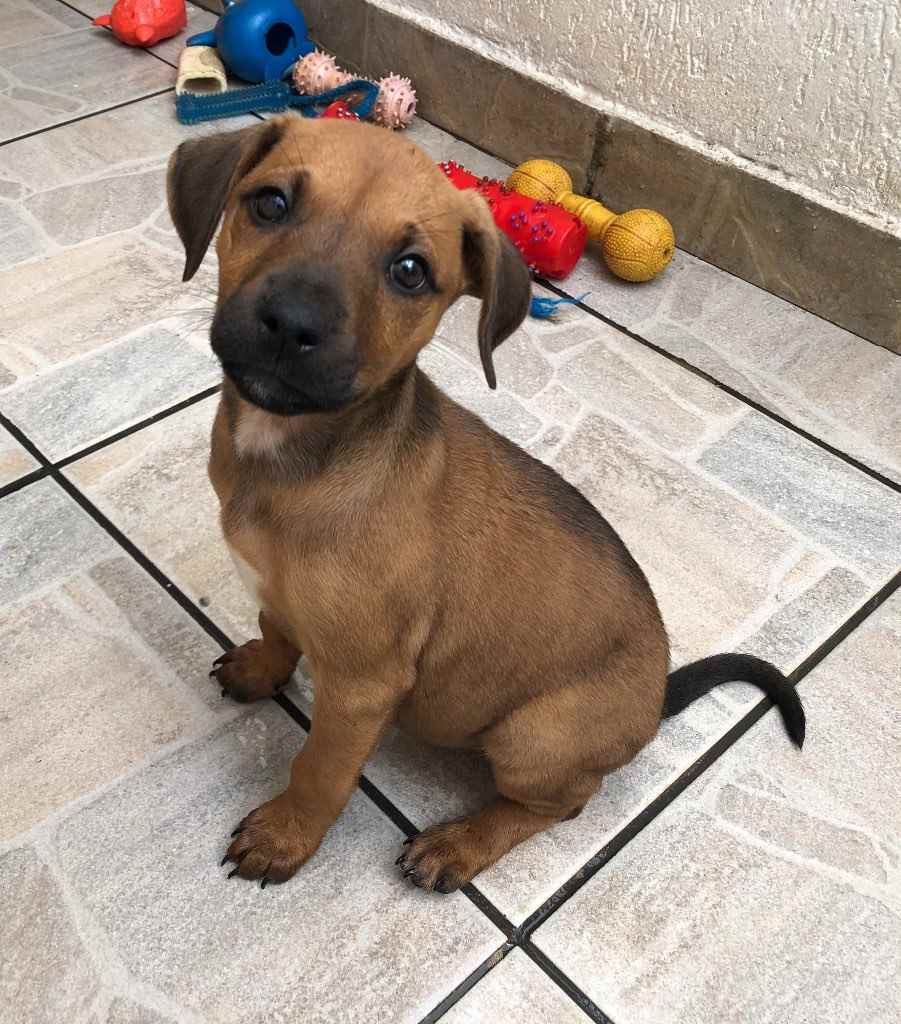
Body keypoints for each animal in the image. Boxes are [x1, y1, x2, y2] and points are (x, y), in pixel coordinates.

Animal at [166, 115, 805, 892]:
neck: (298, 456)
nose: (290, 324)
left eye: (410, 271)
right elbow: (278, 627)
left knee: (562, 802)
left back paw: (459, 845)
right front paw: (261, 668)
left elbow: (319, 770)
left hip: (532, 735)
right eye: (270, 204)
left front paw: (285, 835)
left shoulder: (362, 686)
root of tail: (655, 701)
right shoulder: (279, 593)